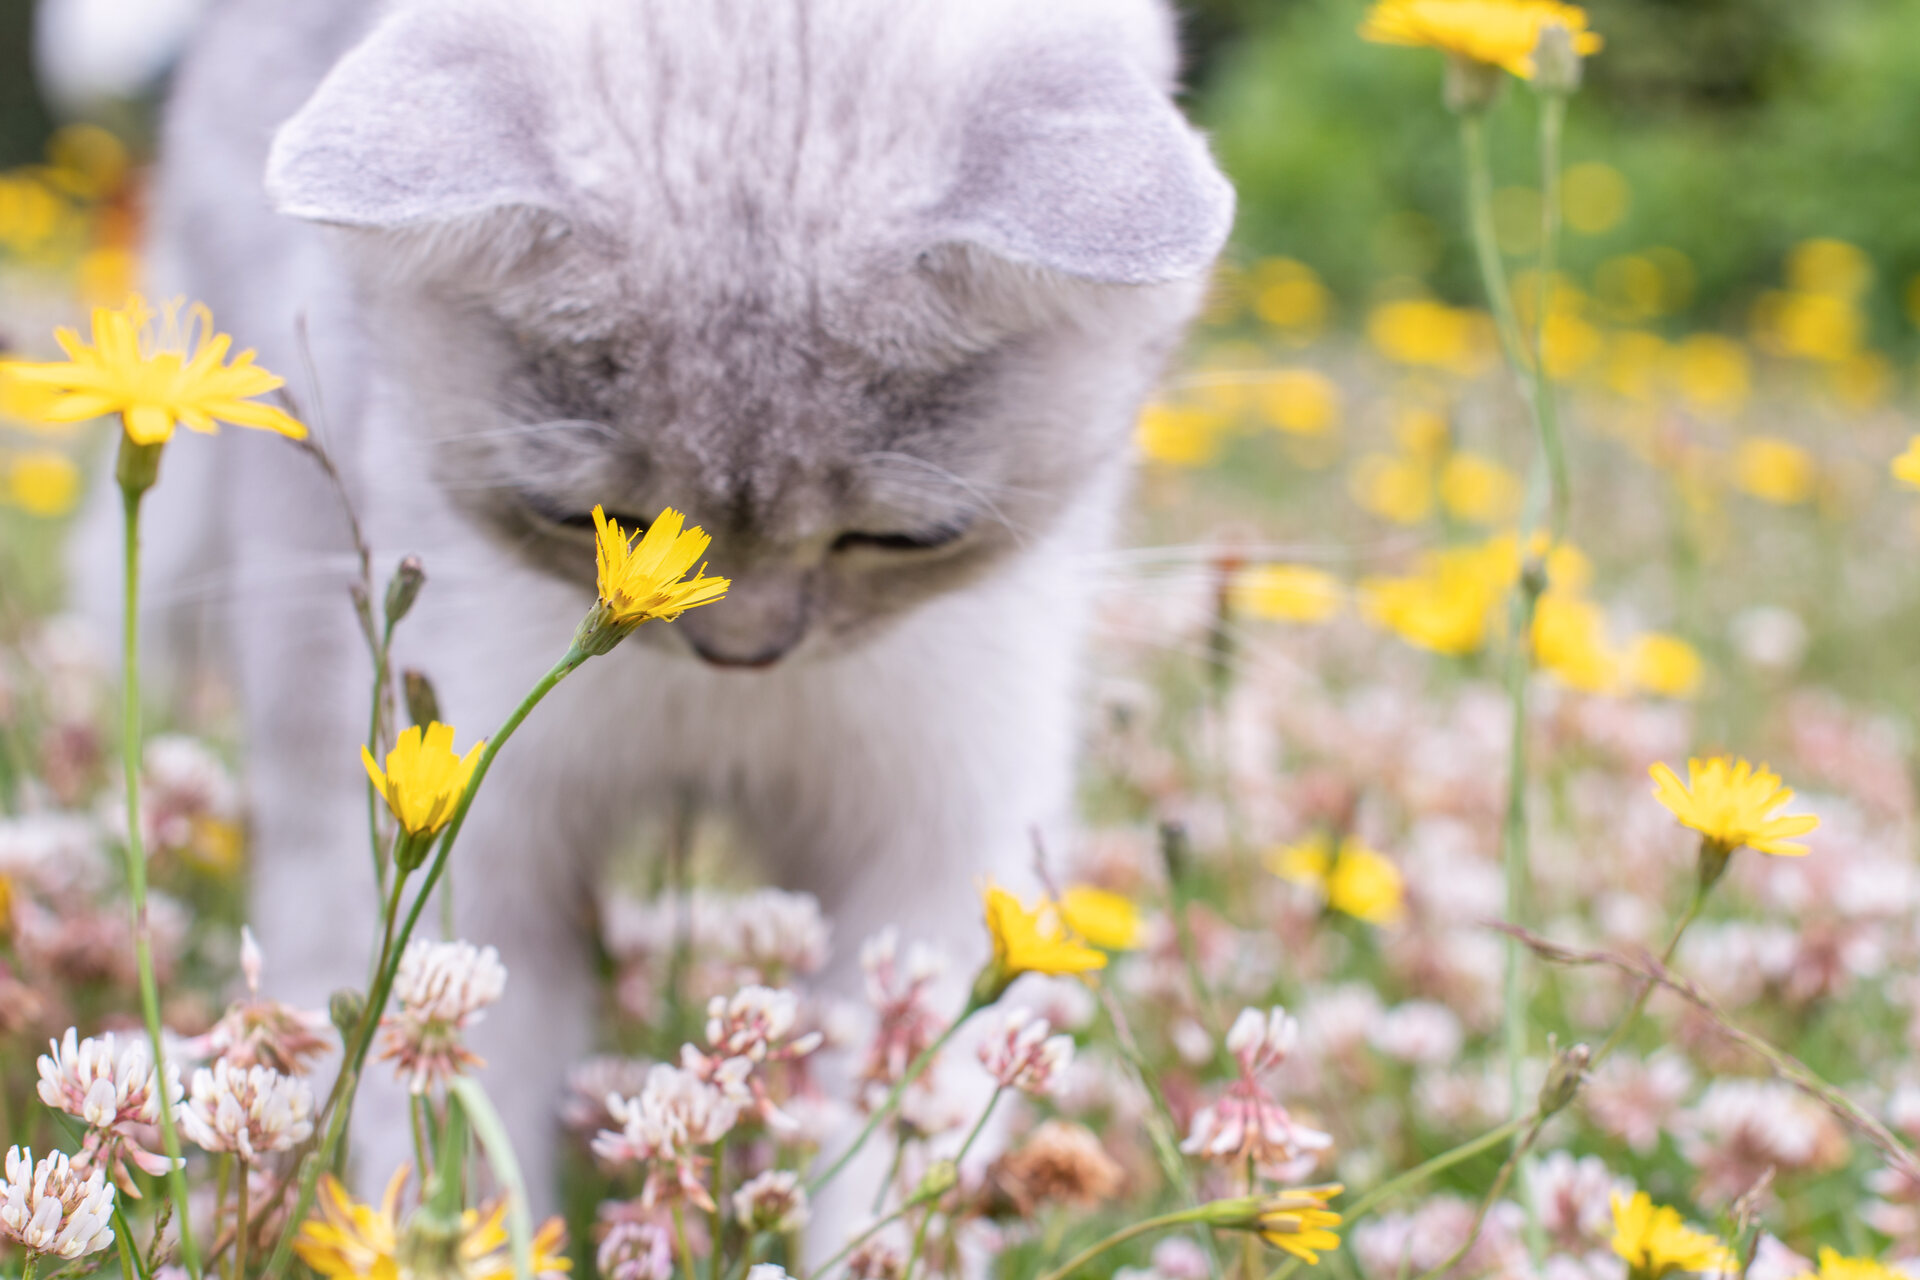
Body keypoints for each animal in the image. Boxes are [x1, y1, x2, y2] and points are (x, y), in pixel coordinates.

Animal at [116, 0, 1228, 1220]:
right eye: (587, 515)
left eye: (902, 538)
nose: (740, 651)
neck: (718, 725)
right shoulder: (468, 817)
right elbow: (456, 1090)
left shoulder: (944, 817)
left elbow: (896, 1123)